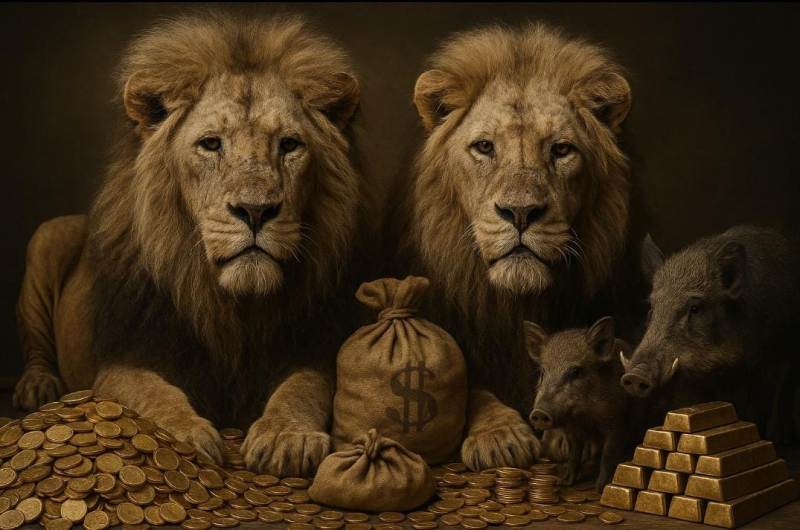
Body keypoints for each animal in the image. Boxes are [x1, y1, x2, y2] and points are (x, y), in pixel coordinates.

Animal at [14, 13, 368, 477]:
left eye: (289, 145)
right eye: (211, 144)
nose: (255, 211)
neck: (234, 307)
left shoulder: (312, 344)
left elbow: (304, 387)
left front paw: (287, 436)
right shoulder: (124, 358)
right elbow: (152, 394)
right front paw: (185, 436)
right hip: (48, 234)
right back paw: (37, 386)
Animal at [390, 23, 634, 471]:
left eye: (561, 149)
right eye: (485, 147)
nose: (520, 213)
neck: (513, 304)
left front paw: (569, 435)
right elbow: (470, 387)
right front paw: (500, 436)